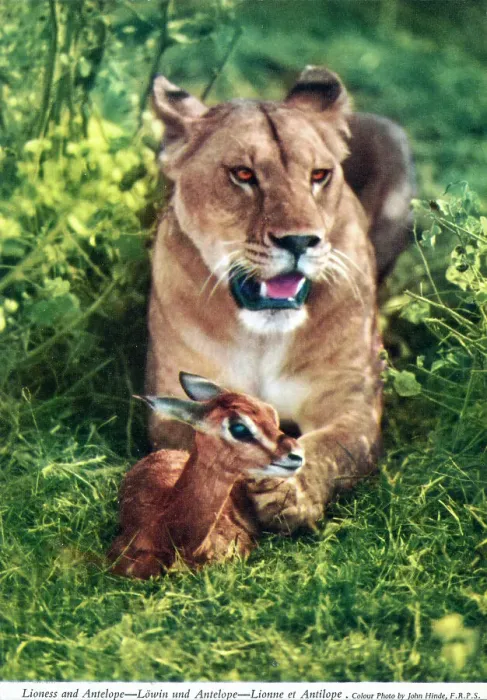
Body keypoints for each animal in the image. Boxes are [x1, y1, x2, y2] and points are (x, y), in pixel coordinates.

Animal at [145, 66, 414, 531]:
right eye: (243, 174)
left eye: (319, 175)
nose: (300, 241)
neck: (262, 337)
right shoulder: (169, 404)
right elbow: (201, 439)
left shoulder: (352, 406)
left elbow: (332, 446)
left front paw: (290, 492)